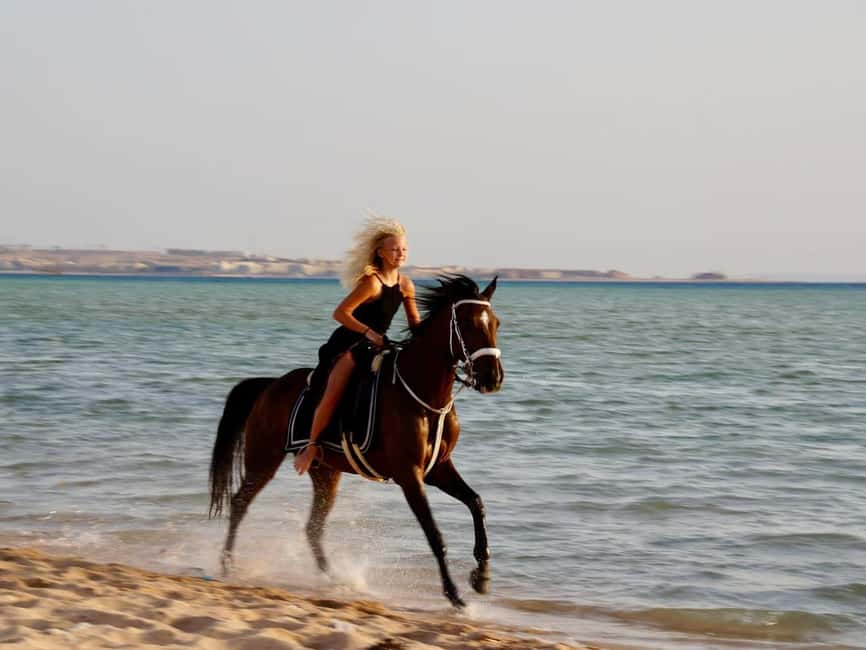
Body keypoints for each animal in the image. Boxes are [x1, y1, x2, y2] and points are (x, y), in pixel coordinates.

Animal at [208, 274, 504, 607]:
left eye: (495, 323)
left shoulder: (437, 468)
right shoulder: (409, 475)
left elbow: (476, 502)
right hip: (263, 459)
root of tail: (270, 385)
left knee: (312, 527)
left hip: (325, 472)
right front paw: (454, 595)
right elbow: (434, 534)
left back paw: (335, 579)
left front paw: (482, 576)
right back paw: (228, 565)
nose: (492, 378)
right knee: (240, 503)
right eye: (466, 323)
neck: (423, 394)